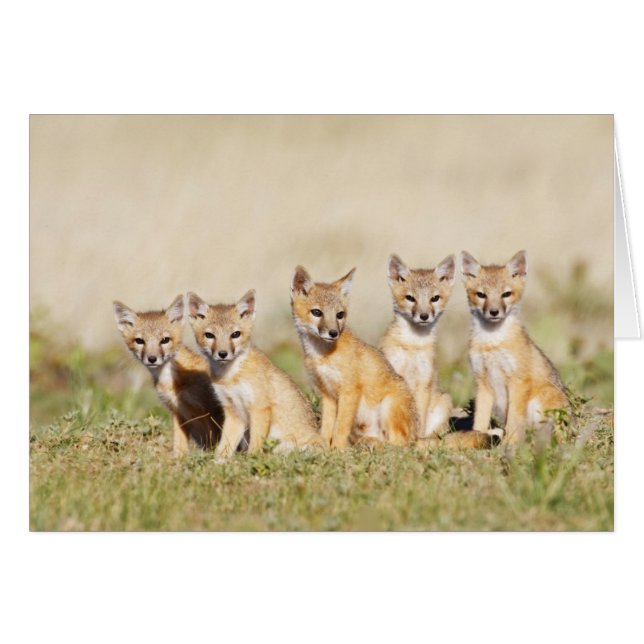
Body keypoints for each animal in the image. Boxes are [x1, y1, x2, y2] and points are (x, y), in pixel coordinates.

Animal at [113, 295, 225, 456]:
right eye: (140, 341)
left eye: (165, 340)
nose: (152, 358)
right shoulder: (177, 412)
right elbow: (179, 445)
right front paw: (178, 458)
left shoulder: (210, 410)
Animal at [187, 289, 323, 458]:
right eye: (209, 335)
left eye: (235, 334)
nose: (223, 354)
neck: (230, 377)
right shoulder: (233, 412)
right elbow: (223, 448)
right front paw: (218, 462)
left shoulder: (260, 408)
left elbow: (255, 446)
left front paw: (251, 459)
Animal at [291, 266, 418, 448]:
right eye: (316, 312)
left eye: (340, 315)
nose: (333, 333)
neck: (322, 355)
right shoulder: (327, 394)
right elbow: (327, 428)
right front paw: (325, 448)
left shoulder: (349, 391)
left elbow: (340, 428)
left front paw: (337, 449)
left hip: (389, 406)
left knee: (398, 444)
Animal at [379, 254, 455, 438]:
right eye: (410, 298)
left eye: (434, 298)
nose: (424, 316)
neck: (412, 345)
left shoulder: (424, 381)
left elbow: (419, 417)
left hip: (445, 400)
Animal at [460, 250, 569, 444]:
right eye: (481, 295)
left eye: (506, 294)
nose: (494, 312)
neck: (492, 342)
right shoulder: (482, 382)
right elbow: (480, 420)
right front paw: (476, 437)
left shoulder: (518, 381)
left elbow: (513, 421)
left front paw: (508, 444)